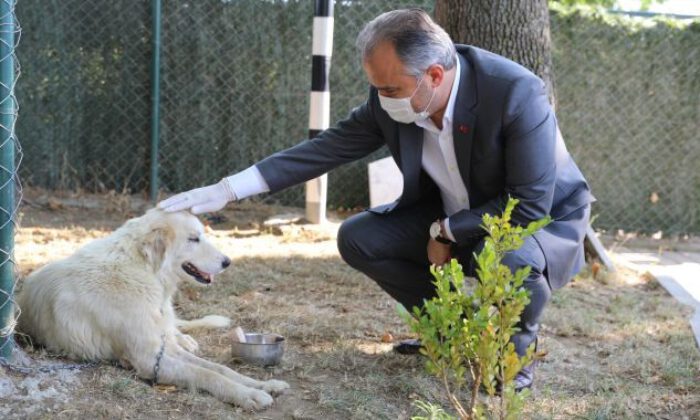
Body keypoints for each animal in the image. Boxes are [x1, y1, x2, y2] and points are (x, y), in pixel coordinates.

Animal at [17, 210, 288, 410]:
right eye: (193, 239)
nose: (227, 262)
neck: (144, 273)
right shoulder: (148, 359)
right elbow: (206, 374)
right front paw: (248, 395)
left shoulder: (163, 348)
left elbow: (219, 368)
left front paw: (263, 384)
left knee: (177, 330)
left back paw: (187, 339)